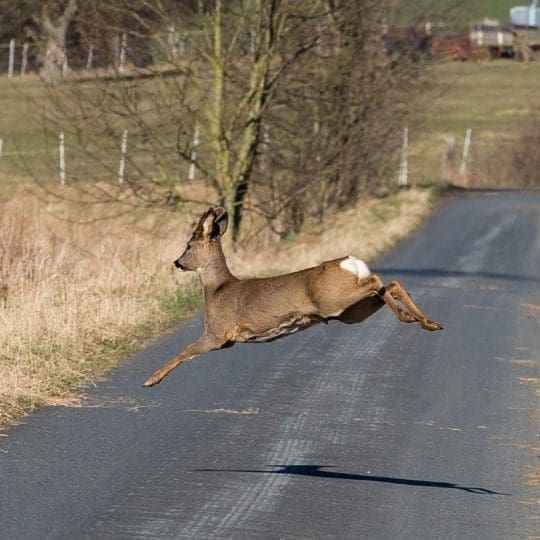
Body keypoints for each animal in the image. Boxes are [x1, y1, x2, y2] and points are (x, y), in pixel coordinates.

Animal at [141, 207, 440, 388]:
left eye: (189, 246)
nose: (177, 262)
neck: (217, 289)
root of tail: (350, 262)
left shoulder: (218, 332)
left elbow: (185, 352)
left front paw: (151, 380)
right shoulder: (224, 339)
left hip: (334, 300)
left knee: (378, 281)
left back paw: (410, 318)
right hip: (350, 312)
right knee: (390, 284)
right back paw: (428, 322)